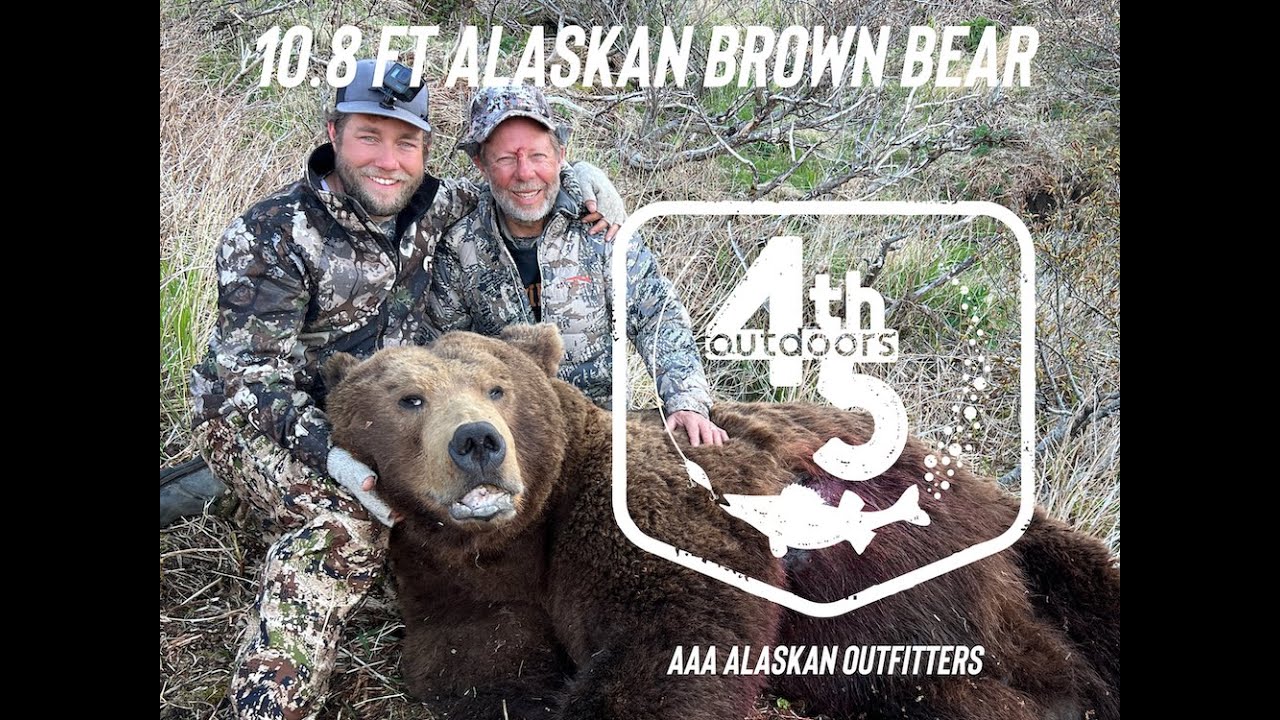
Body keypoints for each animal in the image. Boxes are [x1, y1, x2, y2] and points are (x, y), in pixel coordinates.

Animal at [324, 325, 1120, 720]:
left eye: (497, 387)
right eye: (409, 399)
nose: (478, 443)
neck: (517, 538)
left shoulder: (632, 508)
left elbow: (676, 632)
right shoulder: (459, 583)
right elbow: (472, 667)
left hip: (986, 525)